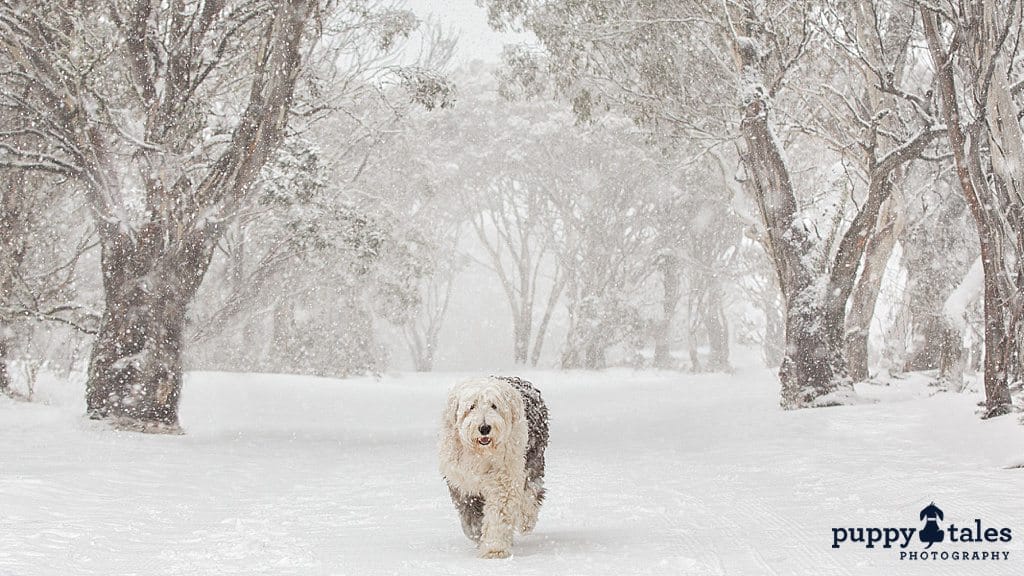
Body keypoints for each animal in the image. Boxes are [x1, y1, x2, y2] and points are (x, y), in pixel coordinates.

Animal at [442, 373, 552, 557]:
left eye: (494, 405)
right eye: (471, 406)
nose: (485, 428)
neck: (481, 454)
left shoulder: (503, 482)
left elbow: (498, 515)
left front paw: (495, 548)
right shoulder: (463, 484)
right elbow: (471, 521)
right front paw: (479, 537)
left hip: (532, 459)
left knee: (532, 492)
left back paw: (526, 521)